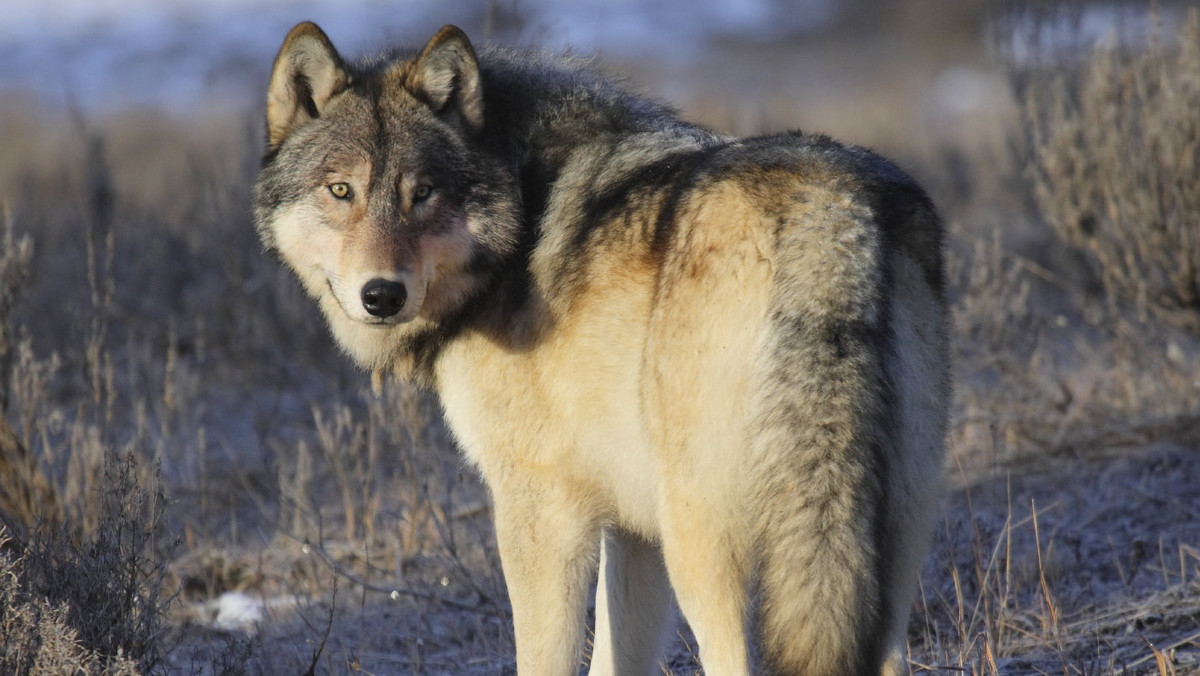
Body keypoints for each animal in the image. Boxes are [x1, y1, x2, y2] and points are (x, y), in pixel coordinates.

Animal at [258, 21, 950, 676]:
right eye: (340, 191)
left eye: (422, 192)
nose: (382, 295)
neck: (521, 208)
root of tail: (827, 208)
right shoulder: (632, 527)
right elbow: (616, 657)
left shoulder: (539, 507)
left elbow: (546, 658)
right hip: (888, 542)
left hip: (701, 543)